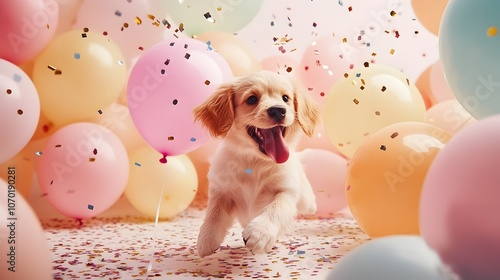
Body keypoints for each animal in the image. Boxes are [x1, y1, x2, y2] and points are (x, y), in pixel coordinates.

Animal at [193, 70, 318, 258]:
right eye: (252, 99)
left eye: (285, 98)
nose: (278, 110)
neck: (256, 161)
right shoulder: (222, 189)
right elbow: (214, 212)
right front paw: (206, 239)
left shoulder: (286, 190)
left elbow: (276, 208)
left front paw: (260, 233)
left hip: (302, 193)